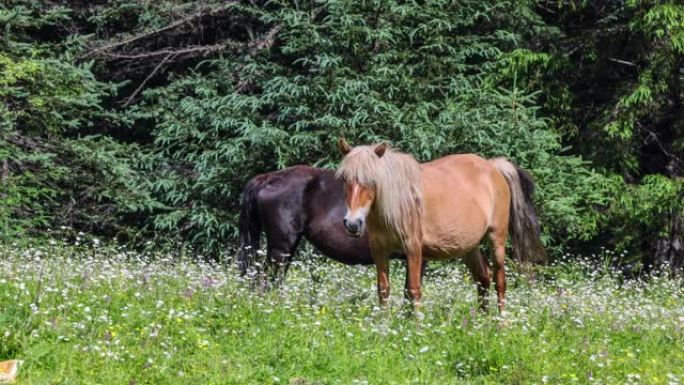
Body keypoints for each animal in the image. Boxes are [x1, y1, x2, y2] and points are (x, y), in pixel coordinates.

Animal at [336, 140, 544, 310]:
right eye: (345, 179)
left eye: (372, 180)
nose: (352, 223)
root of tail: (493, 167)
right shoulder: (379, 250)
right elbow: (383, 290)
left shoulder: (413, 248)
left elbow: (413, 290)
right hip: (469, 247)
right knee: (483, 278)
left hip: (497, 240)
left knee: (500, 282)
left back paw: (501, 325)